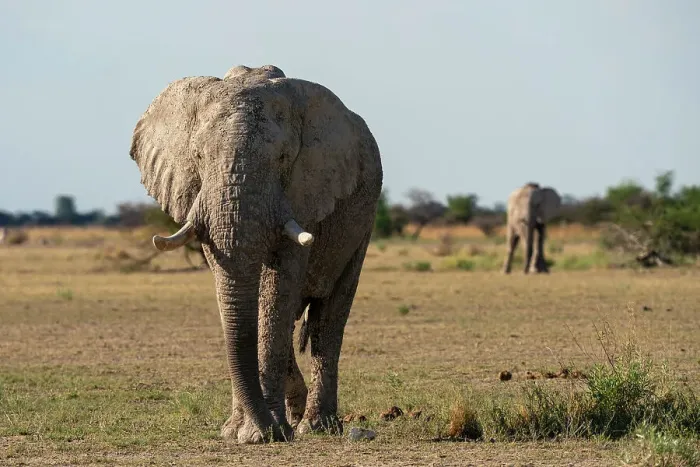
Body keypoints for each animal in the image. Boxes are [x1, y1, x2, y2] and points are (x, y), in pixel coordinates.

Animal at [129, 64, 383, 444]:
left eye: (282, 158)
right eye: (198, 157)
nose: (271, 432)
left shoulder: (303, 193)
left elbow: (277, 289)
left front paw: (259, 434)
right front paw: (238, 432)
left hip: (363, 221)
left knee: (330, 315)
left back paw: (315, 425)